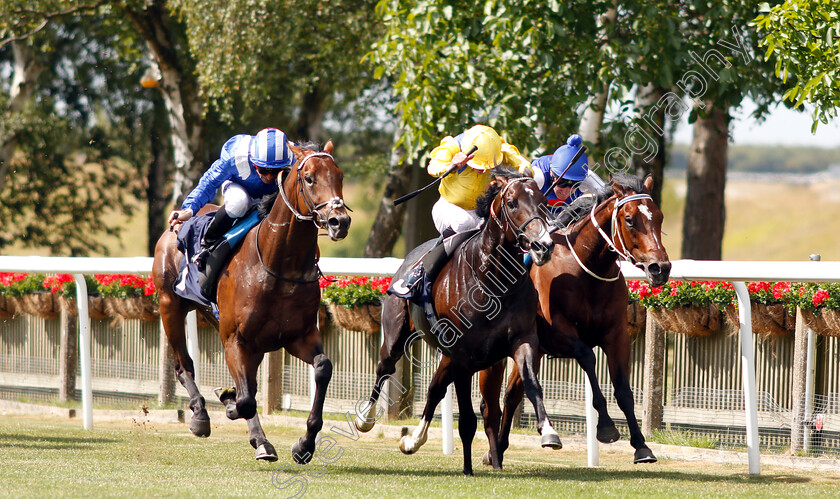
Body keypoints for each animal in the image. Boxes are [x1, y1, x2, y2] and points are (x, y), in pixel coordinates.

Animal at [150, 141, 348, 464]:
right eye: (309, 178)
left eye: (340, 175)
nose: (339, 221)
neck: (278, 265)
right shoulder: (234, 338)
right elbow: (244, 400)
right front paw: (228, 401)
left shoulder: (299, 336)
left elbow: (322, 367)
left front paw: (304, 444)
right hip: (171, 306)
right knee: (185, 367)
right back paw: (201, 415)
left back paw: (261, 441)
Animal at [352, 169, 556, 476]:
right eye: (511, 203)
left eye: (543, 201)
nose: (543, 246)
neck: (494, 283)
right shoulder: (463, 356)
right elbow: (468, 420)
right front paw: (468, 469)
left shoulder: (522, 340)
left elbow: (530, 385)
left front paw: (548, 432)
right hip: (397, 337)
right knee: (384, 368)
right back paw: (366, 419)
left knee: (434, 389)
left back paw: (412, 441)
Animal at [480, 174, 668, 466]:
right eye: (629, 219)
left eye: (659, 217)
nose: (661, 268)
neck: (586, 268)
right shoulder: (558, 333)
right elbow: (588, 357)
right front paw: (606, 427)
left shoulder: (616, 336)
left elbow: (623, 390)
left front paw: (641, 446)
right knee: (491, 401)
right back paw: (493, 450)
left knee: (512, 395)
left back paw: (498, 448)